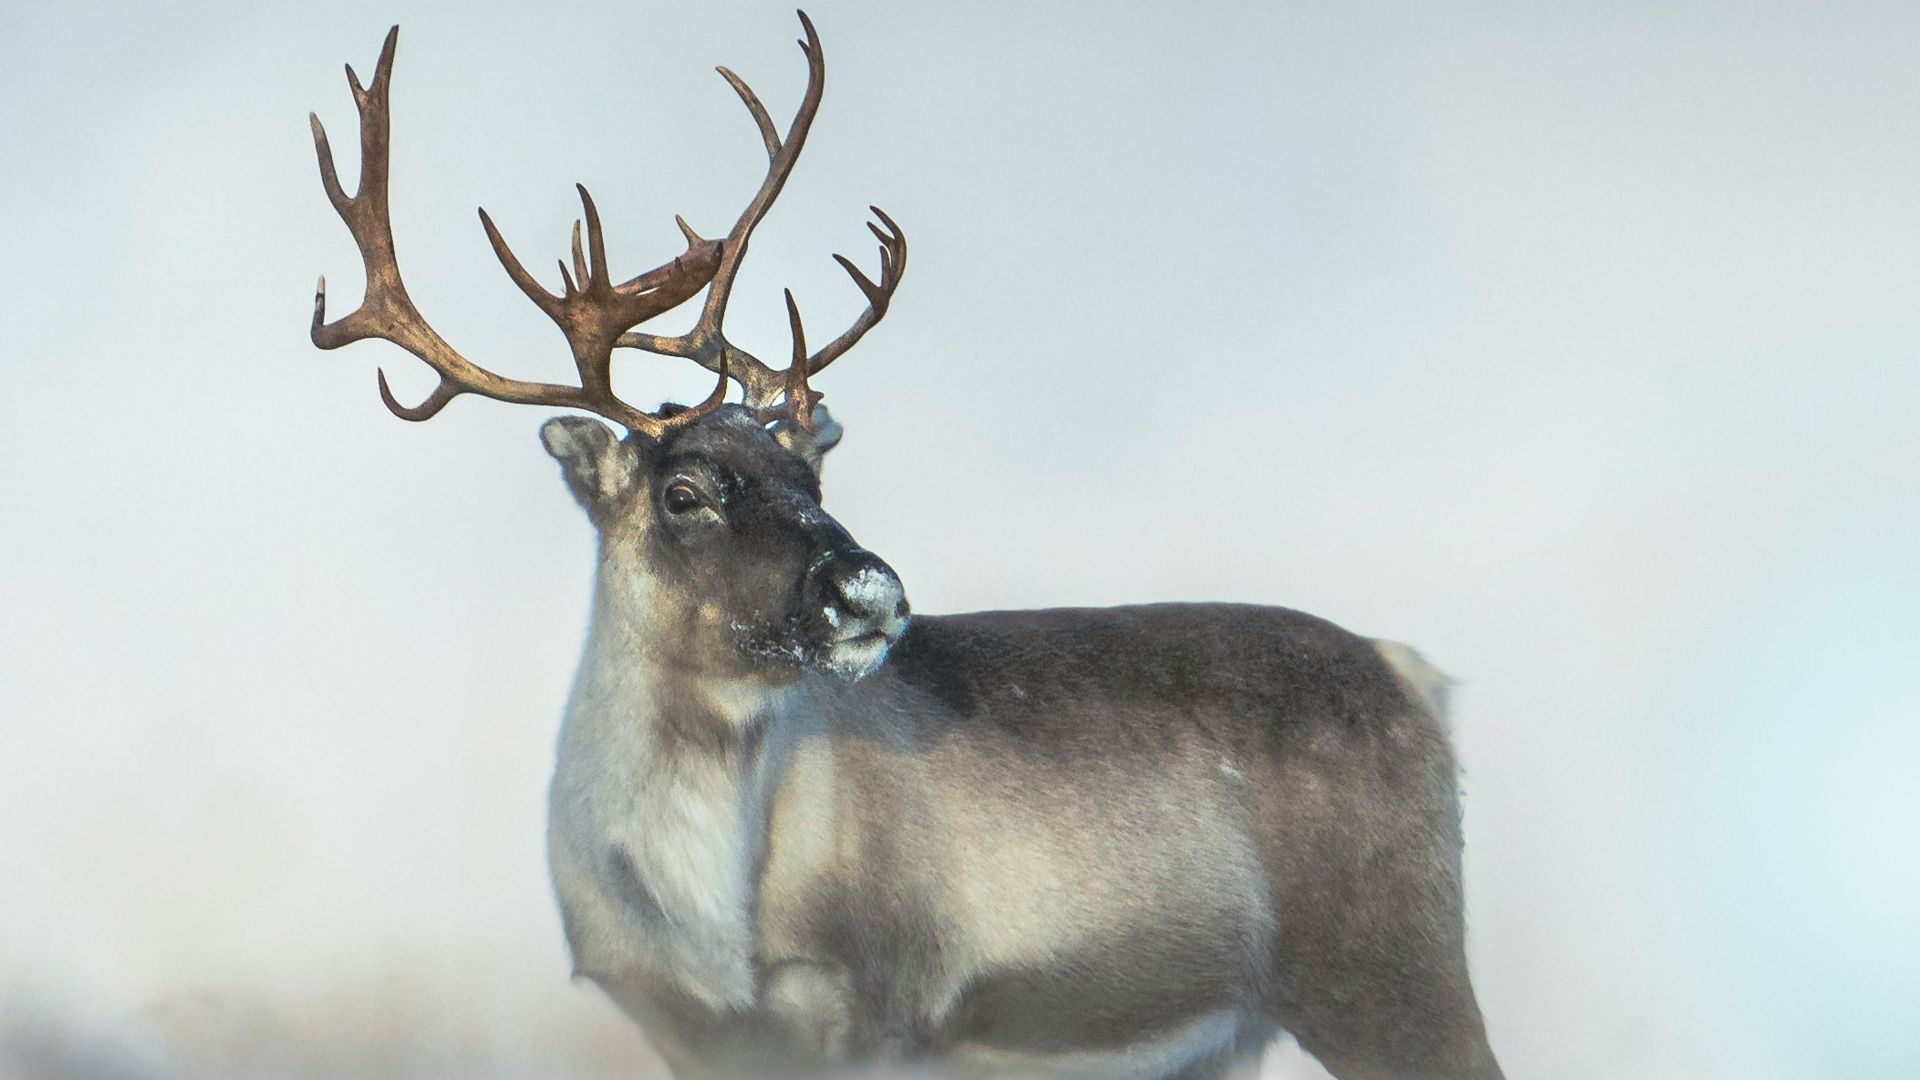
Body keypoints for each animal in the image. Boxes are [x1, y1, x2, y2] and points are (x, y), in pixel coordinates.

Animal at [308, 13, 1504, 1080]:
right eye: (685, 491)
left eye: (812, 478)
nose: (868, 588)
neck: (703, 921)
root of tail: (1414, 675)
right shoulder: (693, 1041)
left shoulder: (880, 1010)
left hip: (1390, 973)